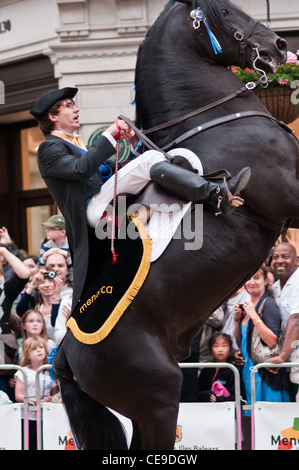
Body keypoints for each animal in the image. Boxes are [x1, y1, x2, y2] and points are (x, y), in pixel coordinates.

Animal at [54, 0, 299, 450]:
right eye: (224, 10)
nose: (278, 44)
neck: (219, 121)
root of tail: (64, 355)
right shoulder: (290, 194)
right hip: (160, 399)